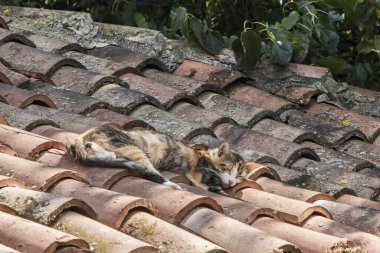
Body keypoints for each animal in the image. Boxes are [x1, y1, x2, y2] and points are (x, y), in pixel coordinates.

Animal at [69, 123, 248, 195]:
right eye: (227, 168)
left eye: (239, 175)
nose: (231, 181)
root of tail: (90, 130)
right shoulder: (198, 174)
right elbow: (211, 187)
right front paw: (221, 190)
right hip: (133, 148)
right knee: (149, 172)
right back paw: (173, 185)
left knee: (95, 151)